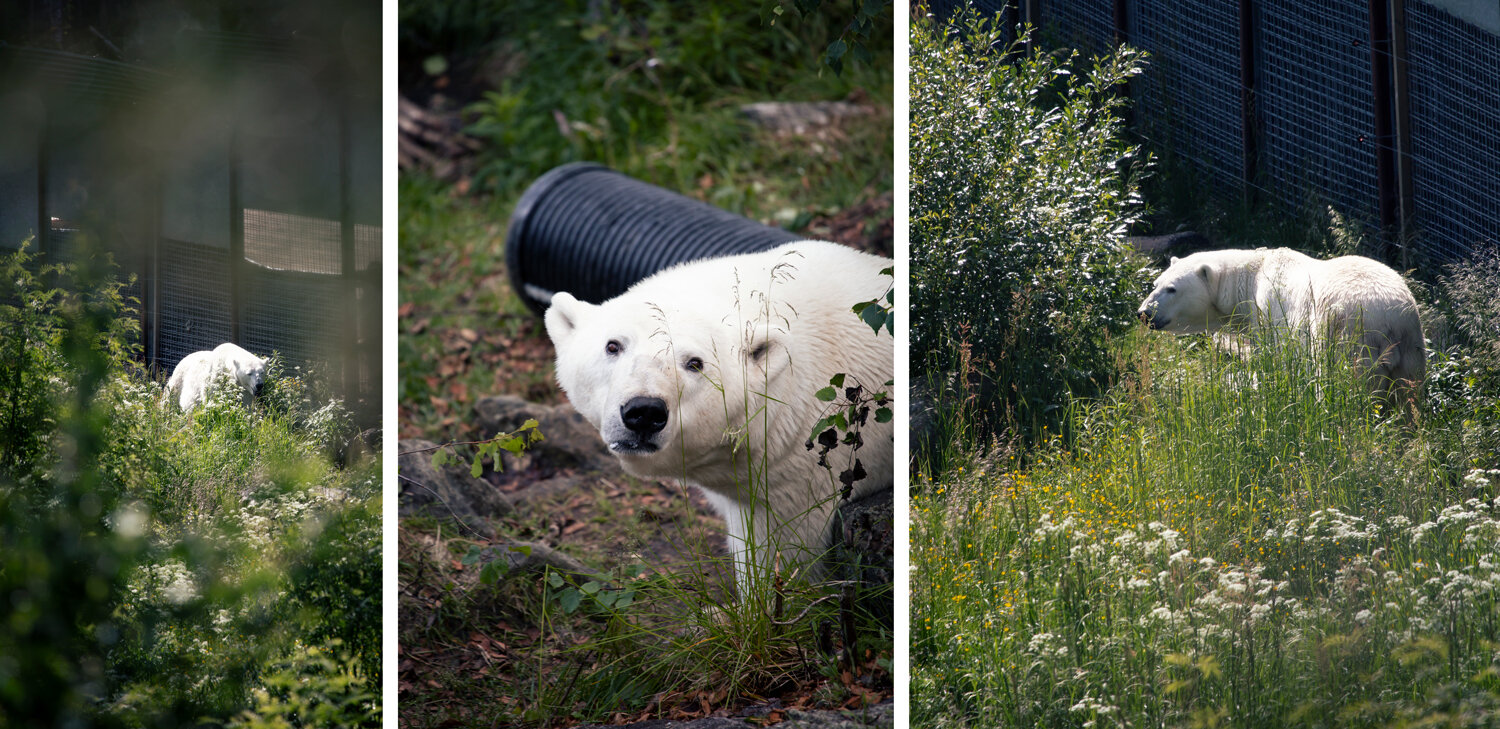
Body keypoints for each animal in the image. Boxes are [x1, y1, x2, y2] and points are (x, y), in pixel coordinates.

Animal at [1136, 247, 1425, 395]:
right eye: (1155, 283)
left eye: (1172, 289)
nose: (1144, 313)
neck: (1252, 276)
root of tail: (1387, 322)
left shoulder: (1269, 314)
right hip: (1411, 342)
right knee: (1409, 392)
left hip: (1345, 337)